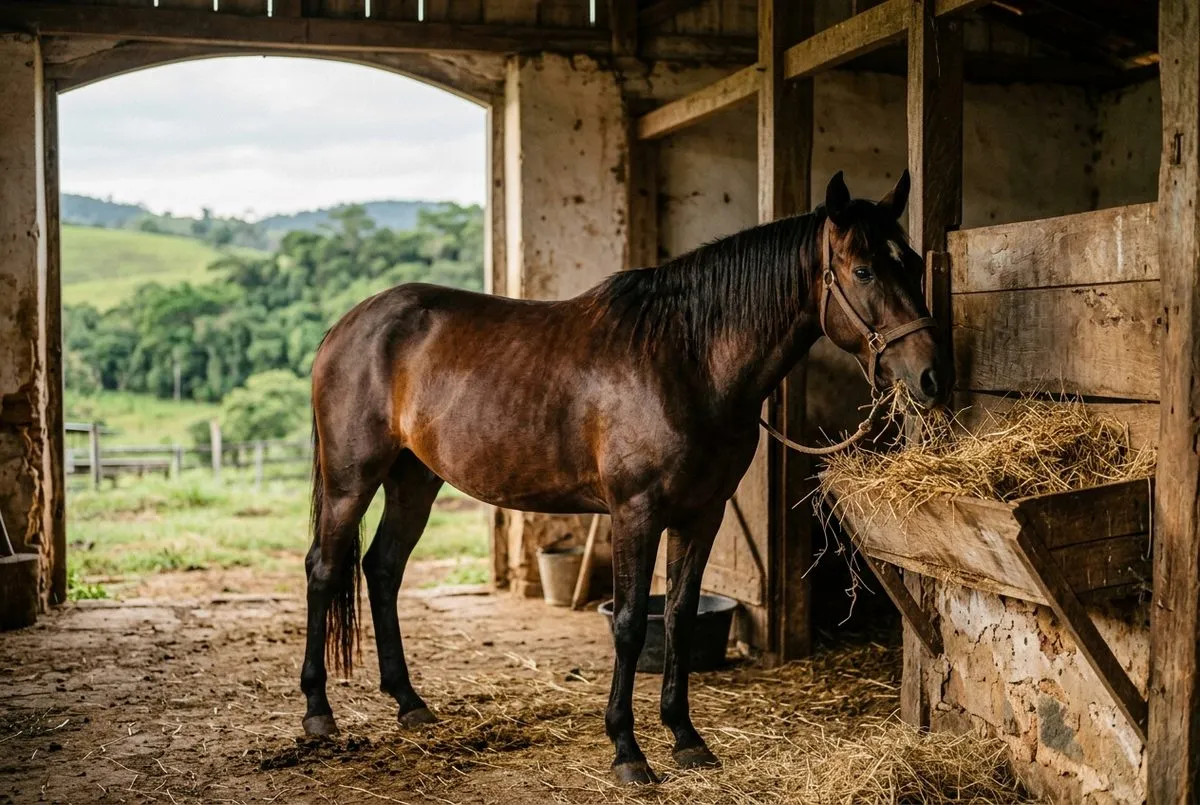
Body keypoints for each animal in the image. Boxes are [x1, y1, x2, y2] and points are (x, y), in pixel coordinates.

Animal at [299, 170, 946, 784]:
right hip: (352, 481)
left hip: (414, 479)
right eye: (863, 269)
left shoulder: (703, 513)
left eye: (913, 263)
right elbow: (632, 624)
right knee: (325, 570)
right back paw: (317, 711)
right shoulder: (636, 513)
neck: (687, 359)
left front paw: (686, 738)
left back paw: (409, 703)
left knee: (382, 569)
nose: (932, 375)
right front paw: (628, 752)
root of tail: (346, 326)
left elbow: (679, 617)